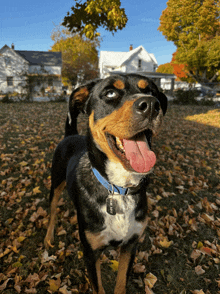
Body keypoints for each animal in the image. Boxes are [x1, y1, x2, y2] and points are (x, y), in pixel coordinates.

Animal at [44, 74, 167, 294]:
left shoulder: (131, 245)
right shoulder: (91, 253)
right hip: (55, 184)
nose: (151, 105)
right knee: (52, 211)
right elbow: (98, 287)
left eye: (151, 91)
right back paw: (49, 237)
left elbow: (121, 283)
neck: (119, 189)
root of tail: (70, 135)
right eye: (110, 93)